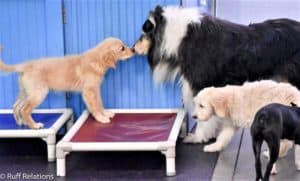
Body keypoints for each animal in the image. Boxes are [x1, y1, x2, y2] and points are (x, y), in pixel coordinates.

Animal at [0, 37, 134, 129]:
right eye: (122, 48)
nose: (133, 50)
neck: (96, 60)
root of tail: (25, 65)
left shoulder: (96, 89)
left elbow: (99, 102)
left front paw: (105, 113)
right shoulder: (89, 91)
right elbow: (95, 105)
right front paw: (101, 118)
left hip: (26, 92)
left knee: (16, 106)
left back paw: (21, 122)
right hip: (39, 93)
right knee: (25, 109)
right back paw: (34, 125)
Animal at [133, 5, 300, 144]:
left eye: (144, 33)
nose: (133, 48)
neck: (181, 36)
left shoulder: (201, 84)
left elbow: (201, 114)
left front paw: (198, 137)